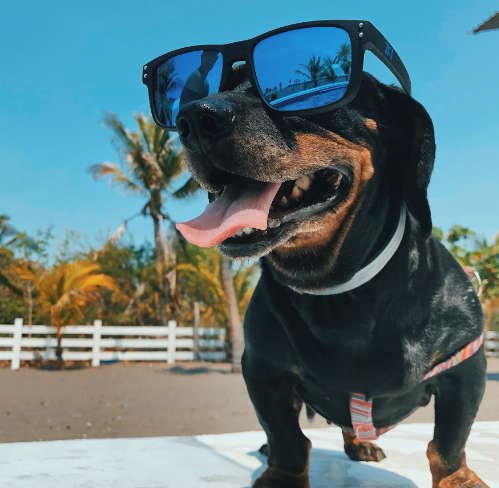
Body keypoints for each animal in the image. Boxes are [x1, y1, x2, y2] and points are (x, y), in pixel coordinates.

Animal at [174, 63, 486, 488]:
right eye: (219, 85)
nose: (192, 118)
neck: (338, 289)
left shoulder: (465, 366)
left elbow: (449, 442)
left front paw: (459, 478)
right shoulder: (263, 369)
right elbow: (286, 435)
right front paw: (283, 475)